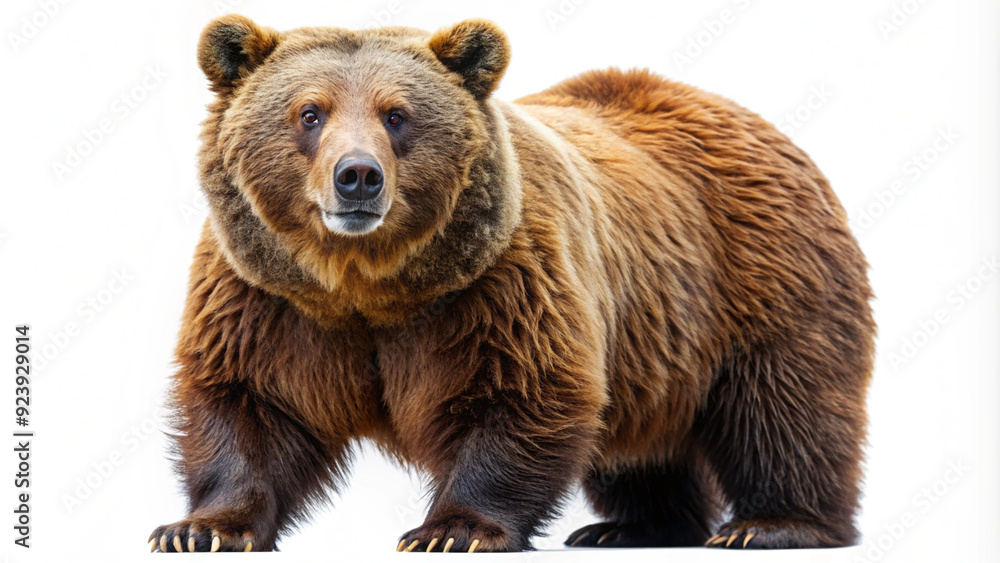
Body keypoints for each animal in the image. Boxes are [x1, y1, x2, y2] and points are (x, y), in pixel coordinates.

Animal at [149, 15, 875, 553]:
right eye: (310, 112)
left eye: (396, 115)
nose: (357, 177)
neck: (365, 282)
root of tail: (755, 121)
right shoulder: (268, 295)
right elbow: (251, 399)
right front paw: (200, 528)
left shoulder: (500, 284)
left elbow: (519, 390)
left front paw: (452, 529)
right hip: (656, 338)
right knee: (642, 443)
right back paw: (631, 525)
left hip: (760, 274)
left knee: (786, 403)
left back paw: (773, 523)